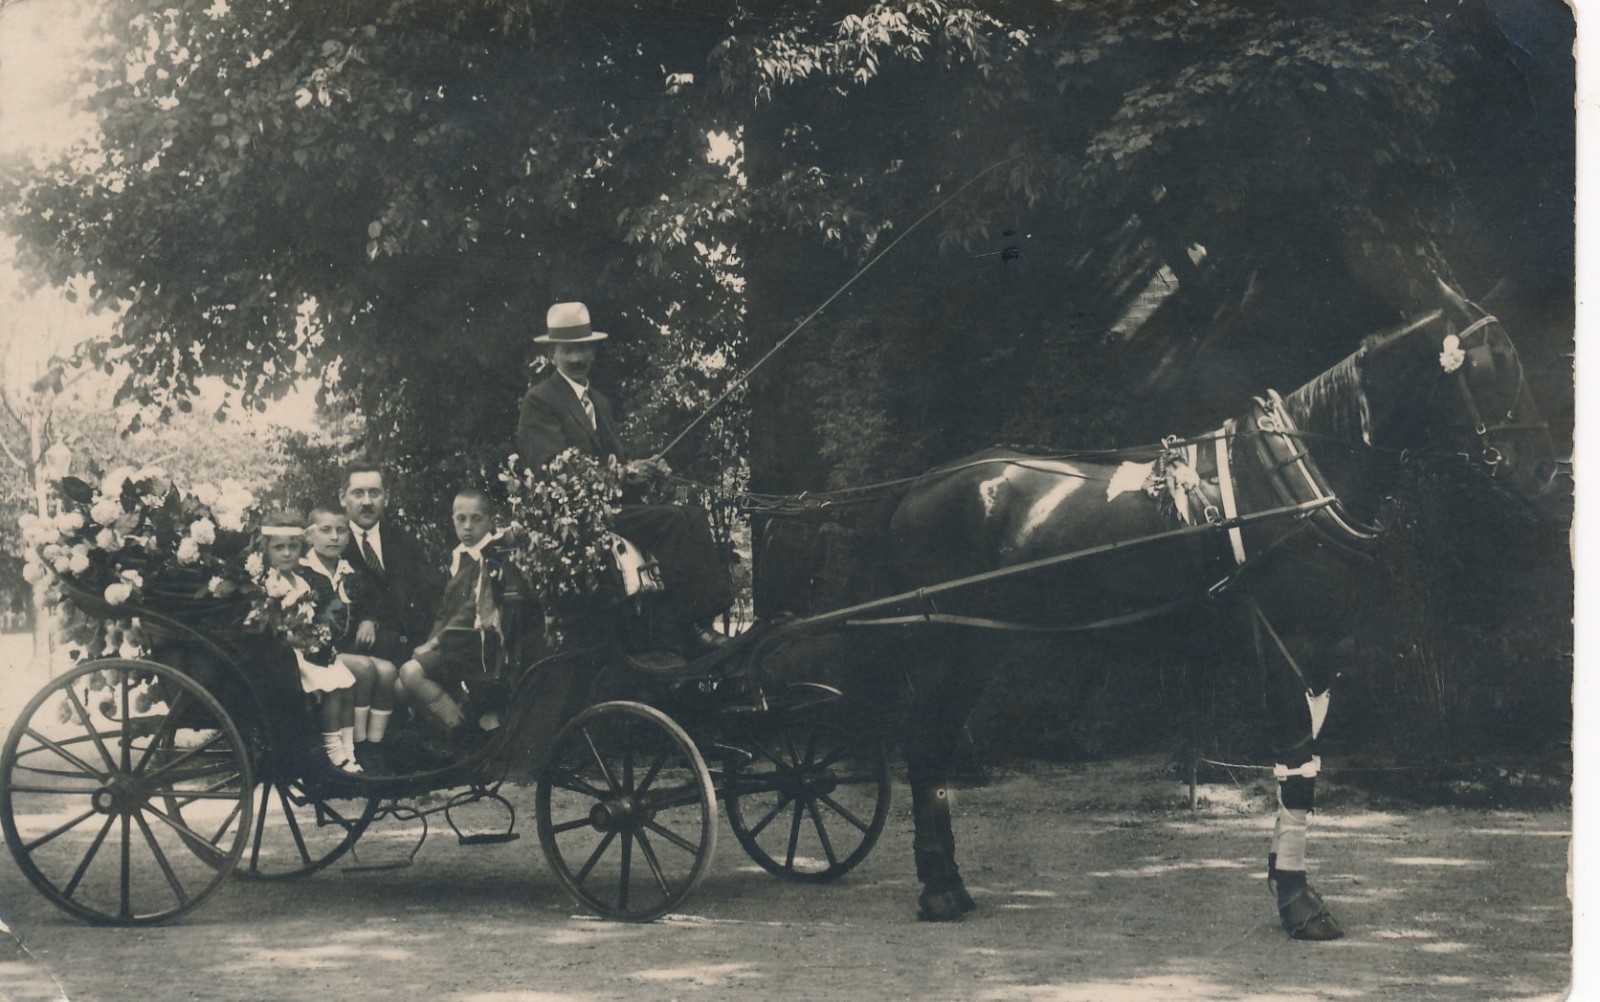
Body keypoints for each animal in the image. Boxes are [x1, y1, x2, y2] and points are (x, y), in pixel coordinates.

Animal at [754, 280, 1557, 936]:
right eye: (1493, 366)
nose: (1546, 470)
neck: (1292, 483)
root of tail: (917, 488)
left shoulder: (1323, 653)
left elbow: (1305, 770)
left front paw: (1284, 875)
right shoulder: (1287, 643)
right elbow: (1295, 764)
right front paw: (1299, 900)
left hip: (978, 645)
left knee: (936, 751)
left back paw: (946, 885)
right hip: (953, 647)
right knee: (926, 751)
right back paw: (941, 890)